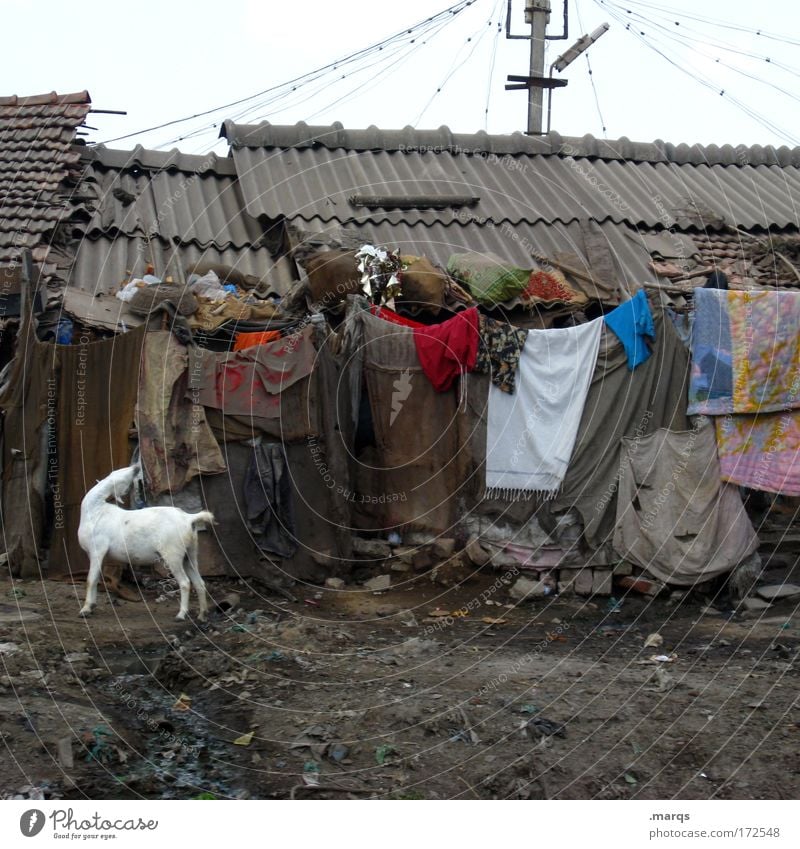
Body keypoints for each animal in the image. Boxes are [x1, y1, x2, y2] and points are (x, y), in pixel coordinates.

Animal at [78, 468, 214, 620]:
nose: (136, 468)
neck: (96, 511)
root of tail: (189, 518)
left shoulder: (97, 550)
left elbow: (90, 579)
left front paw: (85, 609)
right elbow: (95, 579)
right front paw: (91, 606)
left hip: (173, 555)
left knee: (185, 582)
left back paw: (181, 614)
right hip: (189, 555)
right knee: (199, 583)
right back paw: (202, 615)